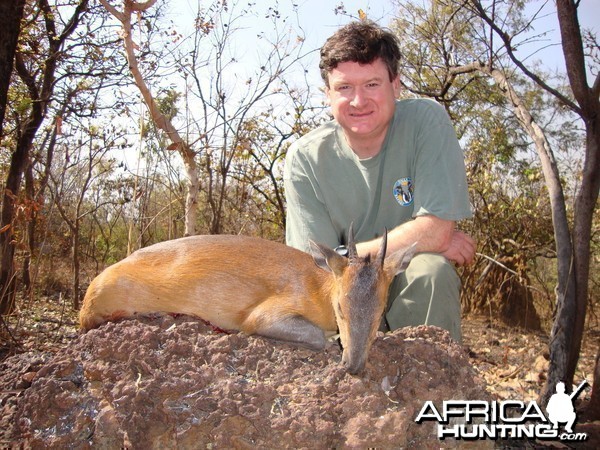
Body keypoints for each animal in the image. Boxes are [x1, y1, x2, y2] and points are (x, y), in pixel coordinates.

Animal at [79, 227, 414, 374]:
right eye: (340, 308)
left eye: (380, 313)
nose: (353, 366)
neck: (318, 289)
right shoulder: (262, 315)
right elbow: (318, 336)